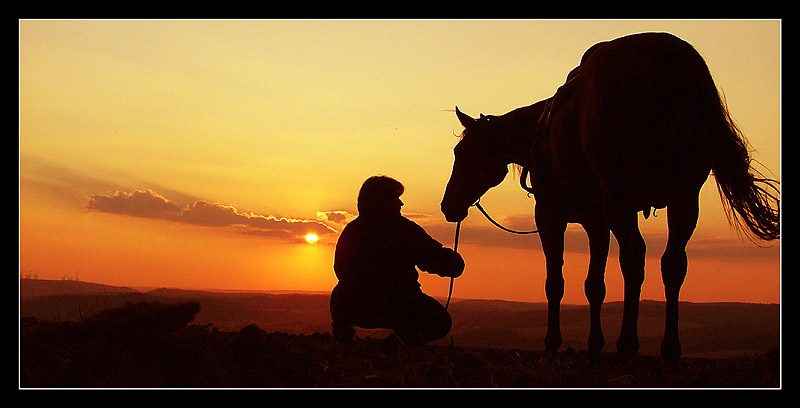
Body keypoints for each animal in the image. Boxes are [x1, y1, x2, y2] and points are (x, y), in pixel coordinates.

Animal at [440, 31, 780, 364]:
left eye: (463, 152)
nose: (448, 206)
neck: (541, 132)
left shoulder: (551, 216)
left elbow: (555, 283)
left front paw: (552, 345)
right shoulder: (597, 223)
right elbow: (595, 285)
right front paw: (594, 345)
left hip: (621, 200)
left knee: (634, 257)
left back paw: (628, 344)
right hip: (683, 198)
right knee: (673, 263)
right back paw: (669, 351)